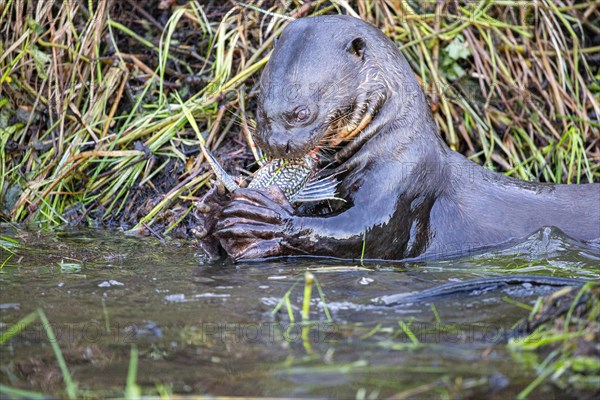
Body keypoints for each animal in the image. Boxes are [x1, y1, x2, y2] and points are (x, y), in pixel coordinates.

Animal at [196, 14, 596, 260]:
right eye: (260, 108)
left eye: (302, 112)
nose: (278, 144)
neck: (391, 145)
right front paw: (211, 212)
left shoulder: (406, 180)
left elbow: (367, 236)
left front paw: (263, 222)